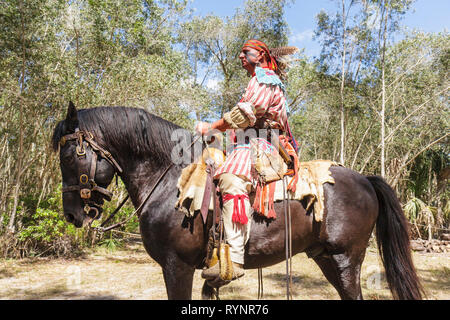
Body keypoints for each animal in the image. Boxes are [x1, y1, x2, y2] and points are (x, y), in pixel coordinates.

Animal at [51, 102, 424, 300]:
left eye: (68, 156)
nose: (71, 215)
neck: (169, 181)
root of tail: (365, 179)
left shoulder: (176, 265)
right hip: (327, 258)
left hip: (345, 258)